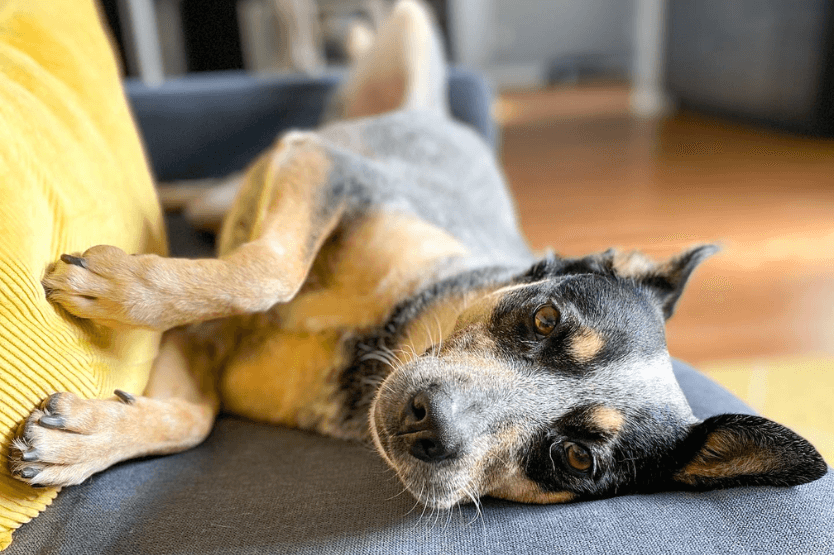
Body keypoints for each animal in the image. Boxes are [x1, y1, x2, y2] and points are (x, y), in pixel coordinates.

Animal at [11, 0, 824, 508]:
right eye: (545, 318)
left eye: (575, 457)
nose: (427, 422)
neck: (373, 337)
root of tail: (436, 113)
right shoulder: (332, 172)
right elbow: (265, 273)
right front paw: (121, 290)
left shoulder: (206, 349)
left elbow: (194, 418)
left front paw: (86, 439)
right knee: (213, 197)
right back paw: (173, 197)